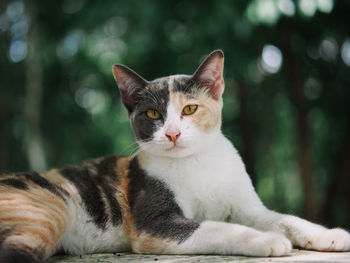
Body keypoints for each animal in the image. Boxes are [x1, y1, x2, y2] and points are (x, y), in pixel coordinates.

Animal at [0, 50, 350, 263]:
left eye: (190, 109)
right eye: (153, 114)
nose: (172, 133)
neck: (196, 164)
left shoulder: (247, 207)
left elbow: (285, 218)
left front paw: (330, 234)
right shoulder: (155, 224)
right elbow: (215, 228)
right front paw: (267, 240)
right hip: (49, 207)